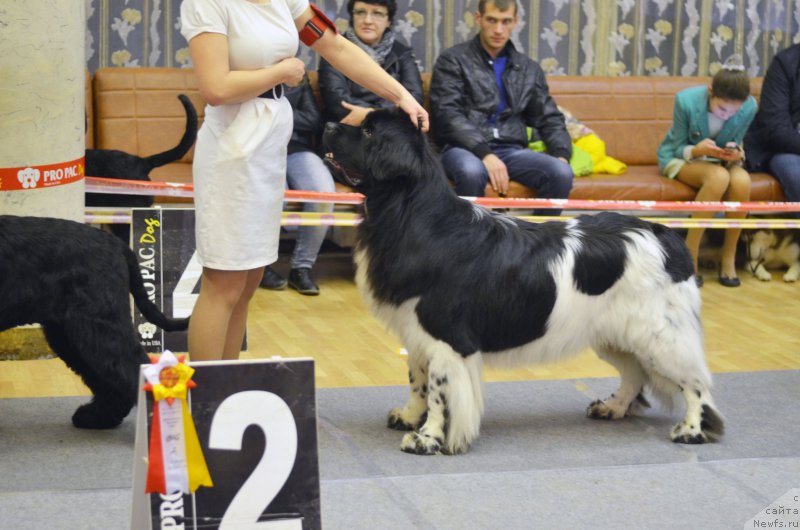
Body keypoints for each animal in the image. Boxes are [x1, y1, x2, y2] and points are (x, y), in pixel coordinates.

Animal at [324, 108, 724, 454]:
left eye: (368, 132)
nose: (328, 125)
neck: (411, 214)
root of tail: (664, 234)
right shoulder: (416, 330)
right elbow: (417, 380)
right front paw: (408, 418)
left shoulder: (446, 337)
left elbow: (439, 391)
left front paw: (428, 438)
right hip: (615, 333)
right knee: (635, 373)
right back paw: (612, 408)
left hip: (660, 334)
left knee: (696, 383)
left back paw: (692, 430)